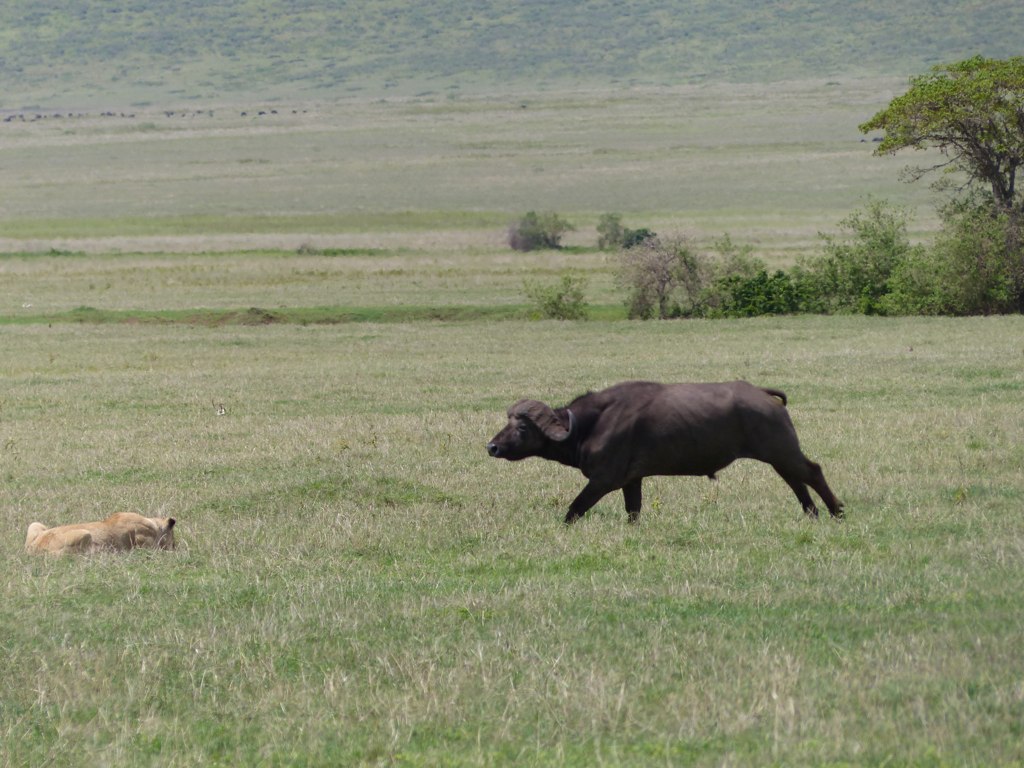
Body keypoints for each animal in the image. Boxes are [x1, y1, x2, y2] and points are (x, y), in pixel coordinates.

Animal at [486, 380, 843, 524]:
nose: (492, 446)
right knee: (795, 481)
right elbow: (633, 511)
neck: (591, 424)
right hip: (777, 455)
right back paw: (811, 513)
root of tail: (763, 396)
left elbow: (574, 509)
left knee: (812, 472)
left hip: (783, 450)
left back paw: (836, 511)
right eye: (507, 422)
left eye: (522, 428)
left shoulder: (603, 480)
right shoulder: (632, 481)